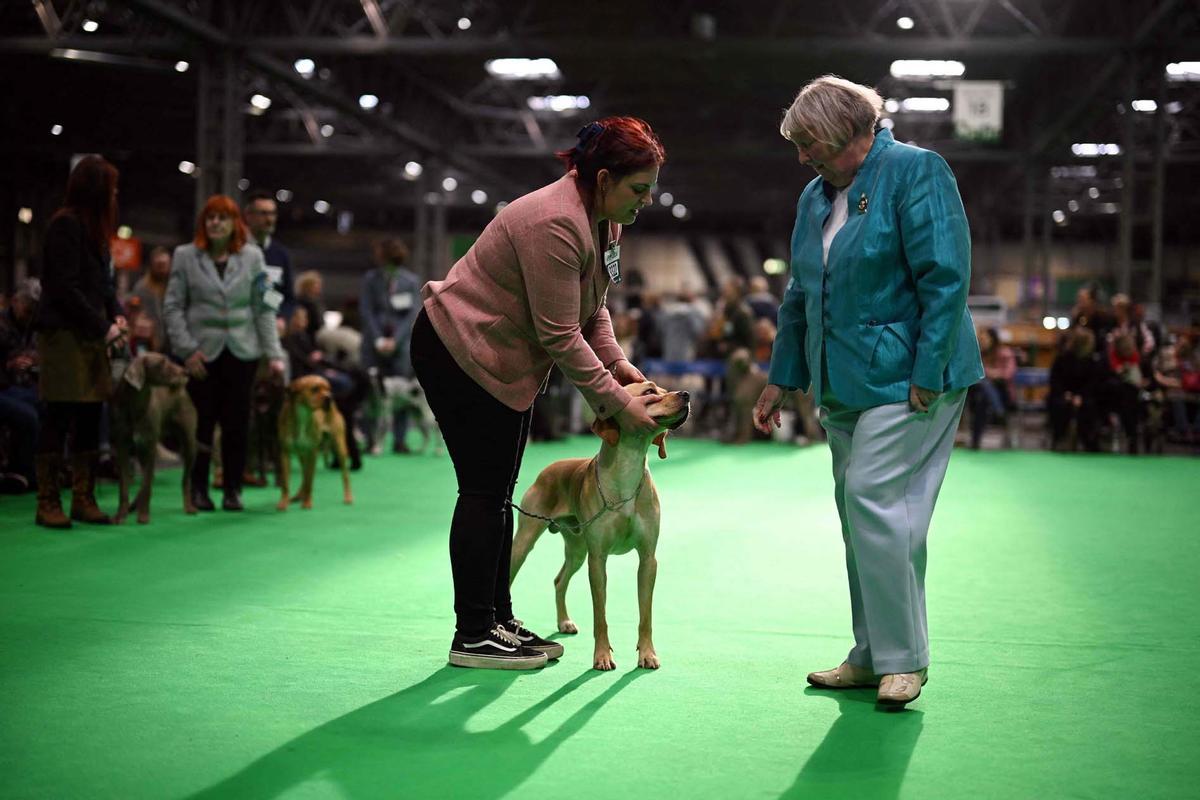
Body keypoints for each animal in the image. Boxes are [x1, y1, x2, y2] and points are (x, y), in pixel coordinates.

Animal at [111, 352, 200, 525]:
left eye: (168, 359)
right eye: (161, 363)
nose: (185, 372)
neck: (136, 406)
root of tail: (183, 389)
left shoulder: (150, 445)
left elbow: (146, 485)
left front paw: (143, 515)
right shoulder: (122, 448)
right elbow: (124, 485)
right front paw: (120, 515)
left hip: (189, 443)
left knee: (185, 479)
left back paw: (189, 507)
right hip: (141, 451)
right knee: (149, 476)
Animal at [278, 371, 352, 510]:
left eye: (329, 388)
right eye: (314, 389)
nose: (329, 397)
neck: (303, 414)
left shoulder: (312, 453)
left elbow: (310, 480)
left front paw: (307, 502)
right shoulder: (285, 453)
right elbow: (285, 482)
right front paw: (283, 502)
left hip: (340, 448)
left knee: (345, 475)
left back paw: (348, 497)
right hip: (302, 454)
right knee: (304, 475)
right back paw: (298, 496)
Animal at [508, 381, 696, 671]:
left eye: (664, 389)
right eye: (649, 391)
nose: (686, 395)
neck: (626, 474)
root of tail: (550, 468)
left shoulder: (648, 559)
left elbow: (646, 615)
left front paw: (647, 653)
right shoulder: (597, 560)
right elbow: (601, 616)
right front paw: (602, 656)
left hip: (576, 547)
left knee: (559, 580)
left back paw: (564, 621)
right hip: (525, 540)